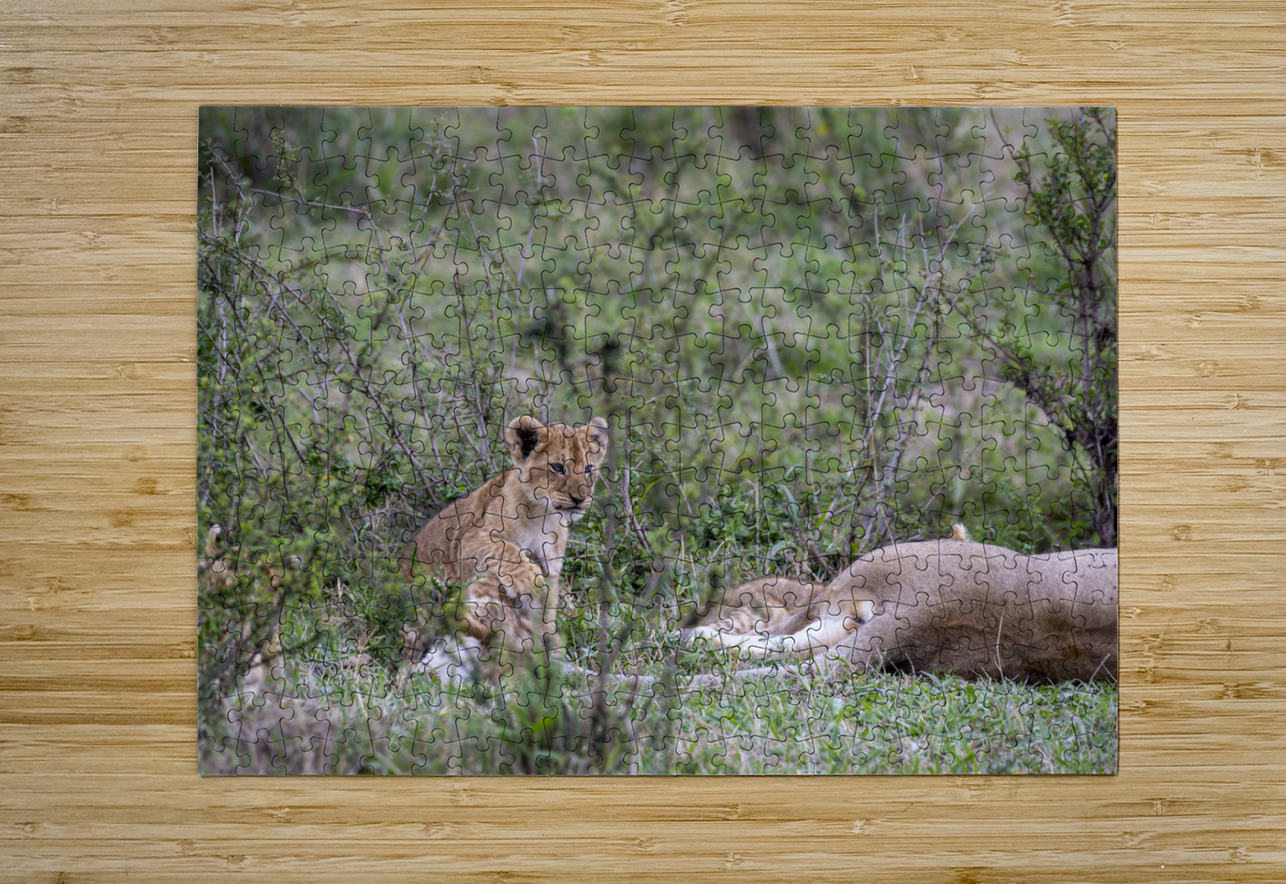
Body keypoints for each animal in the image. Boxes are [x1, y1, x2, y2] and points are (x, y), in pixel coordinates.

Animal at [399, 415, 608, 662]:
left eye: (588, 468)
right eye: (558, 467)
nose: (580, 498)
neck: (543, 517)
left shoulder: (552, 570)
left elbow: (545, 615)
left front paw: (550, 652)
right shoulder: (471, 539)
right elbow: (507, 550)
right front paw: (529, 579)